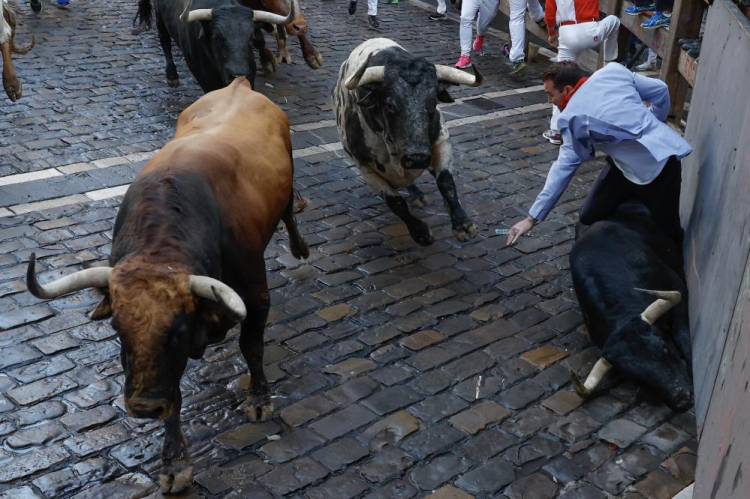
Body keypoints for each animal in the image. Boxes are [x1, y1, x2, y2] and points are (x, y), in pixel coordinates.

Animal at [26, 78, 308, 496]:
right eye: (117, 328)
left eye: (176, 330)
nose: (143, 407)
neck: (163, 244)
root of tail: (239, 84)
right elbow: (172, 395)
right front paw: (175, 463)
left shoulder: (255, 294)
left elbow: (252, 348)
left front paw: (259, 398)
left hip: (287, 184)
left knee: (290, 213)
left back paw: (299, 246)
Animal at [137, 0, 302, 93]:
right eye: (217, 37)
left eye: (250, 38)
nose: (237, 74)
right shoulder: (201, 72)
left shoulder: (250, 70)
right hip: (160, 18)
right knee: (165, 41)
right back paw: (171, 76)